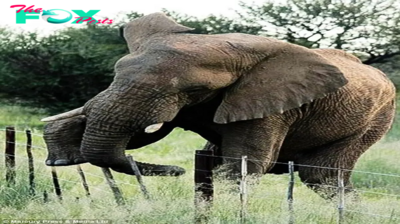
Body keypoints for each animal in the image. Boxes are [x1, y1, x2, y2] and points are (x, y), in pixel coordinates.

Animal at [41, 13, 396, 197]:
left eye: (194, 88)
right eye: (117, 72)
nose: (176, 171)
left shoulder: (272, 105)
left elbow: (244, 165)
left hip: (377, 118)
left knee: (321, 176)